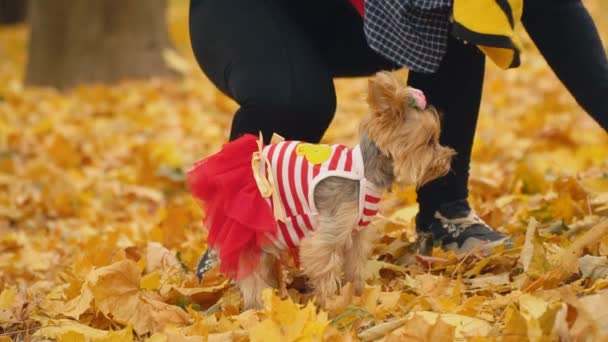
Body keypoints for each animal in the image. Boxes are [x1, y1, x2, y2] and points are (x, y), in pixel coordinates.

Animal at [188, 71, 454, 308]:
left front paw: (359, 295)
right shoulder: (328, 234)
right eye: (429, 141)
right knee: (250, 272)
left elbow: (355, 266)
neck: (365, 173)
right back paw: (259, 305)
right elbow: (326, 269)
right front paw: (331, 304)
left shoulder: (357, 233)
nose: (449, 158)